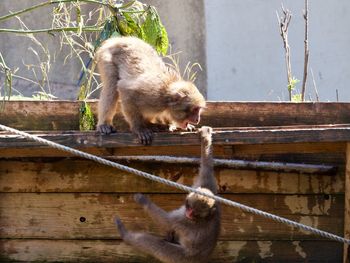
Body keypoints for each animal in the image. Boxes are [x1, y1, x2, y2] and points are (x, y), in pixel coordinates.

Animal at [115, 127, 221, 262]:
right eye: (190, 208)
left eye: (194, 213)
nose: (188, 214)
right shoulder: (208, 188)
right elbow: (207, 168)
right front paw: (205, 137)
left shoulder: (183, 221)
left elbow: (166, 221)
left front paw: (143, 200)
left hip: (179, 257)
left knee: (155, 244)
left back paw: (126, 235)